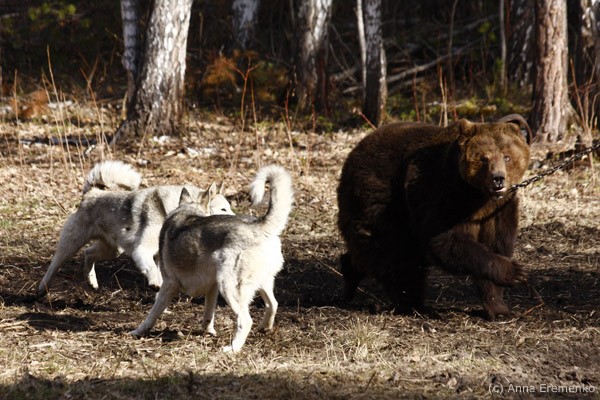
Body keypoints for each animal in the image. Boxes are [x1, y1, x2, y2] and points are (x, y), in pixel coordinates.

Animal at [38, 161, 234, 295]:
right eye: (223, 209)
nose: (237, 219)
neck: (170, 209)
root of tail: (91, 192)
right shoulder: (141, 251)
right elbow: (153, 271)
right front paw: (155, 283)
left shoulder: (157, 256)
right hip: (71, 245)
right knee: (55, 264)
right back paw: (42, 288)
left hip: (113, 250)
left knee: (88, 254)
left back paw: (92, 282)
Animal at [130, 165, 293, 353]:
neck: (185, 213)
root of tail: (260, 227)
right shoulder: (212, 288)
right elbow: (208, 314)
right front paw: (208, 332)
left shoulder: (169, 284)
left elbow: (153, 313)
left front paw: (138, 331)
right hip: (260, 284)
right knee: (273, 304)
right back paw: (264, 328)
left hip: (229, 287)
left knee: (246, 320)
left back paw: (233, 348)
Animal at [337, 115, 532, 320]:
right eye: (483, 158)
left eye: (507, 156)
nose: (498, 178)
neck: (478, 196)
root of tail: (355, 150)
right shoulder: (441, 193)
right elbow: (444, 240)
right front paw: (516, 271)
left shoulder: (498, 210)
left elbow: (496, 244)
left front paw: (500, 308)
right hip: (382, 195)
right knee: (394, 249)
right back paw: (414, 304)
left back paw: (350, 275)